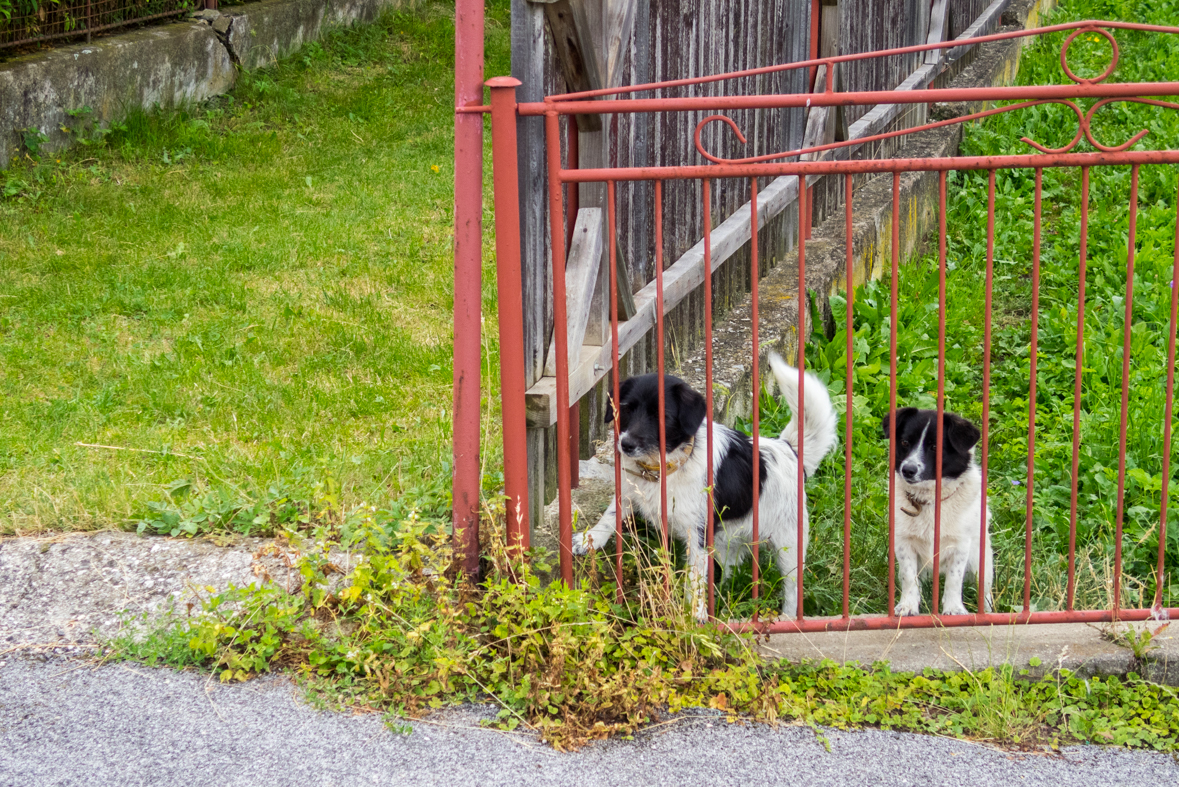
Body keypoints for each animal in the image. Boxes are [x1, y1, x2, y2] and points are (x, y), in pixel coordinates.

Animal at [570, 355, 839, 622]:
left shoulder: (698, 533)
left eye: (661, 417)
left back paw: (787, 618)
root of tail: (789, 449)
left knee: (792, 588)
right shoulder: (629, 491)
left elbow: (695, 577)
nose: (625, 445)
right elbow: (611, 514)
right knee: (730, 568)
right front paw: (590, 538)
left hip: (789, 545)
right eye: (626, 409)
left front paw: (695, 613)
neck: (664, 468)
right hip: (727, 540)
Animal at [886, 409, 995, 617]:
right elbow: (908, 577)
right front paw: (908, 606)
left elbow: (954, 579)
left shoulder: (960, 545)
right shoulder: (904, 543)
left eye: (935, 447)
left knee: (985, 592)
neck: (930, 501)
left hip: (982, 563)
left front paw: (953, 608)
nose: (908, 470)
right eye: (904, 442)